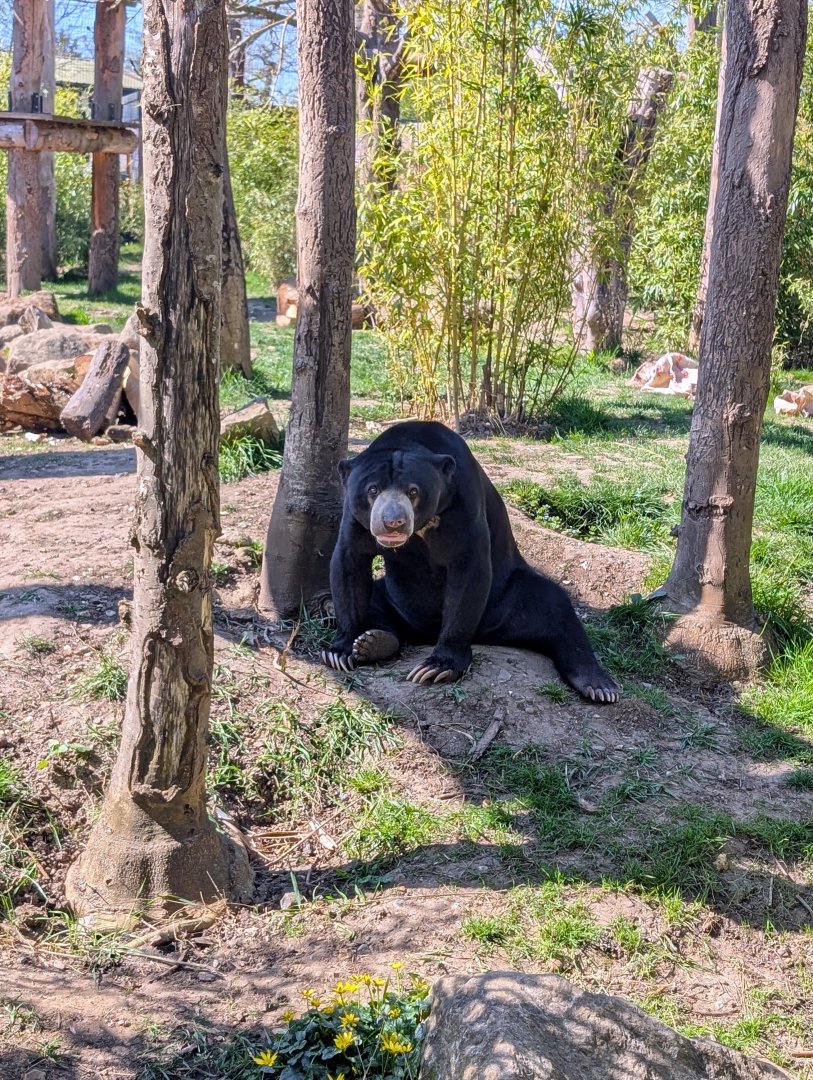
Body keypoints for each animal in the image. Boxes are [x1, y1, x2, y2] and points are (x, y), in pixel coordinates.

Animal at [322, 420, 619, 703]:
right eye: (373, 490)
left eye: (413, 491)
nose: (393, 523)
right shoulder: (354, 517)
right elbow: (349, 564)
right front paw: (340, 651)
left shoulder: (462, 503)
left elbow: (468, 570)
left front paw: (437, 667)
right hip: (393, 598)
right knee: (371, 602)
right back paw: (372, 642)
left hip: (506, 598)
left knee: (555, 607)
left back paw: (600, 687)